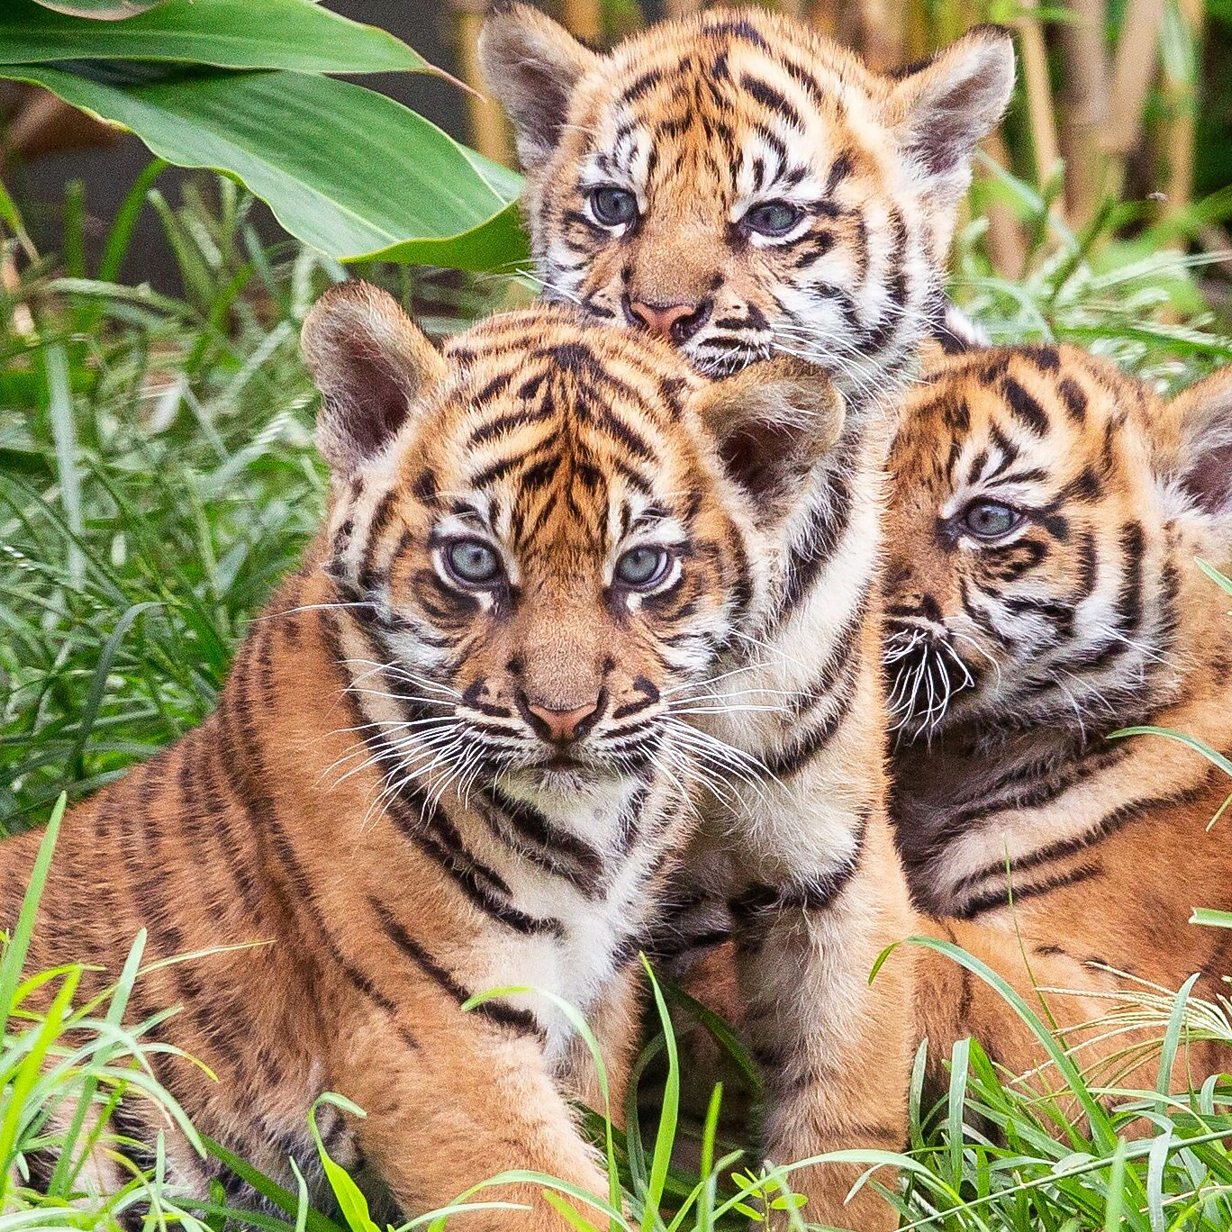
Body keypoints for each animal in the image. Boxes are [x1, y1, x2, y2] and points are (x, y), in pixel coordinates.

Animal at [5, 283, 847, 1230]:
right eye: (474, 560)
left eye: (641, 569)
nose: (563, 716)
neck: (597, 826)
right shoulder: (435, 1036)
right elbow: (547, 1201)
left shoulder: (593, 1004)